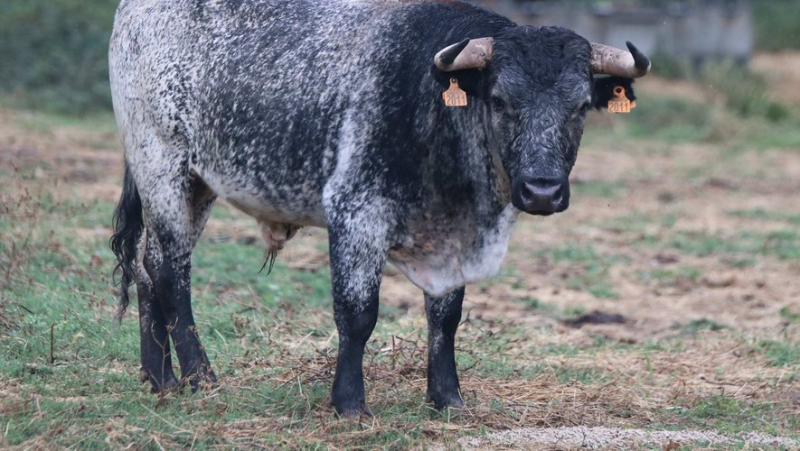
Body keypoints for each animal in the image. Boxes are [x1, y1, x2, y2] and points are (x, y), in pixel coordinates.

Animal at [108, 0, 648, 416]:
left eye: (580, 106)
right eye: (499, 100)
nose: (541, 191)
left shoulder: (452, 241)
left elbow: (445, 317)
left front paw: (448, 399)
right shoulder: (355, 213)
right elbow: (358, 314)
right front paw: (349, 404)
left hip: (194, 186)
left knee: (148, 264)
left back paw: (159, 378)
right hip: (162, 167)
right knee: (172, 273)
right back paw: (200, 376)